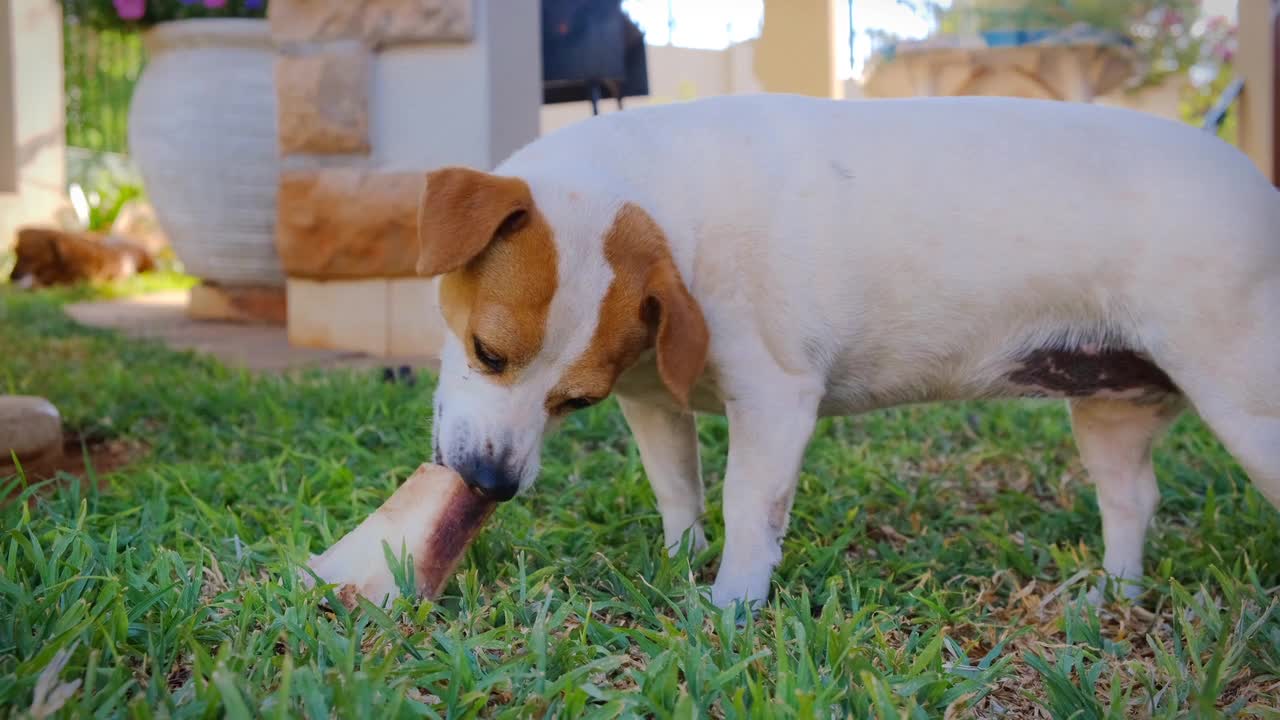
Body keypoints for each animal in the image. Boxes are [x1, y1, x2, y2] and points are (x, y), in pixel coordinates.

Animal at [414, 92, 1274, 602]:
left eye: (571, 399)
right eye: (489, 353)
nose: (489, 482)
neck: (673, 210)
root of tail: (1260, 188)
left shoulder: (776, 400)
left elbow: (747, 507)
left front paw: (728, 607)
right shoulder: (654, 405)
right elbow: (678, 493)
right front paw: (679, 564)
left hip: (1246, 405)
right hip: (1109, 409)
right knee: (1133, 502)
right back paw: (1113, 599)